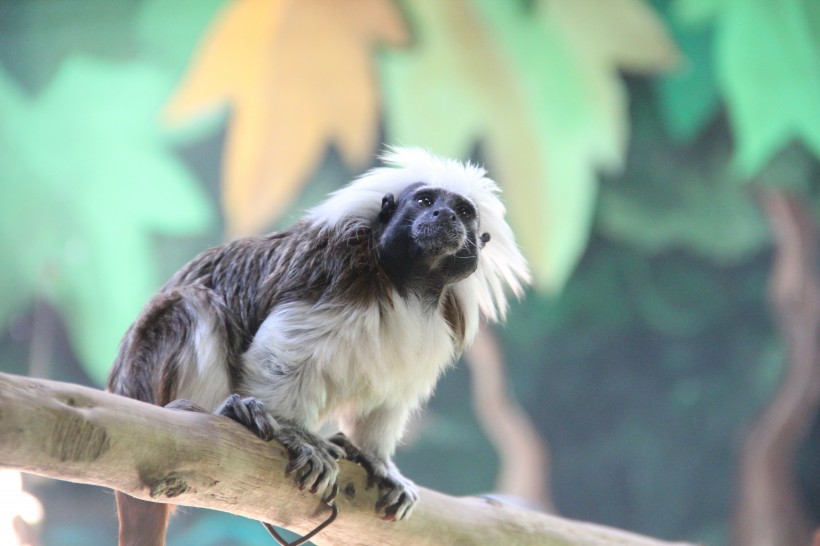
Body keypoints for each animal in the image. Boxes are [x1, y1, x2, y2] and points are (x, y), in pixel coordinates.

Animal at [105, 147, 528, 540]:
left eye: (463, 211)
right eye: (425, 201)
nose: (444, 216)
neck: (406, 284)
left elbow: (389, 397)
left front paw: (377, 460)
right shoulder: (334, 272)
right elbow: (286, 352)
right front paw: (295, 434)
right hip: (147, 376)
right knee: (193, 304)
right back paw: (224, 410)